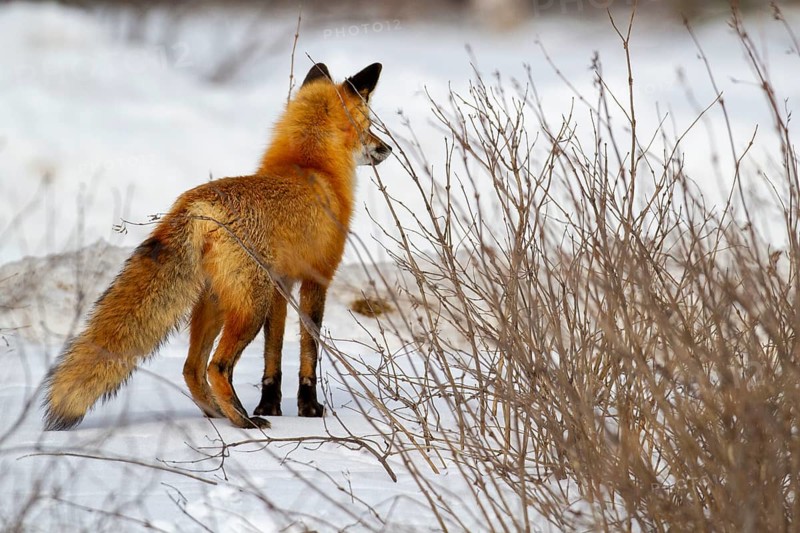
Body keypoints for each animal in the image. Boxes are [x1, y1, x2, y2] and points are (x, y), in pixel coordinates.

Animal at [43, 62, 391, 430]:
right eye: (369, 127)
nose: (387, 148)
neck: (310, 164)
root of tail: (197, 204)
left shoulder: (280, 285)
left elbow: (273, 353)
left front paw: (270, 404)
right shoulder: (317, 278)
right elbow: (308, 350)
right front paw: (307, 407)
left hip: (217, 302)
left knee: (191, 368)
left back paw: (218, 414)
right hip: (250, 307)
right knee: (216, 366)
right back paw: (243, 420)